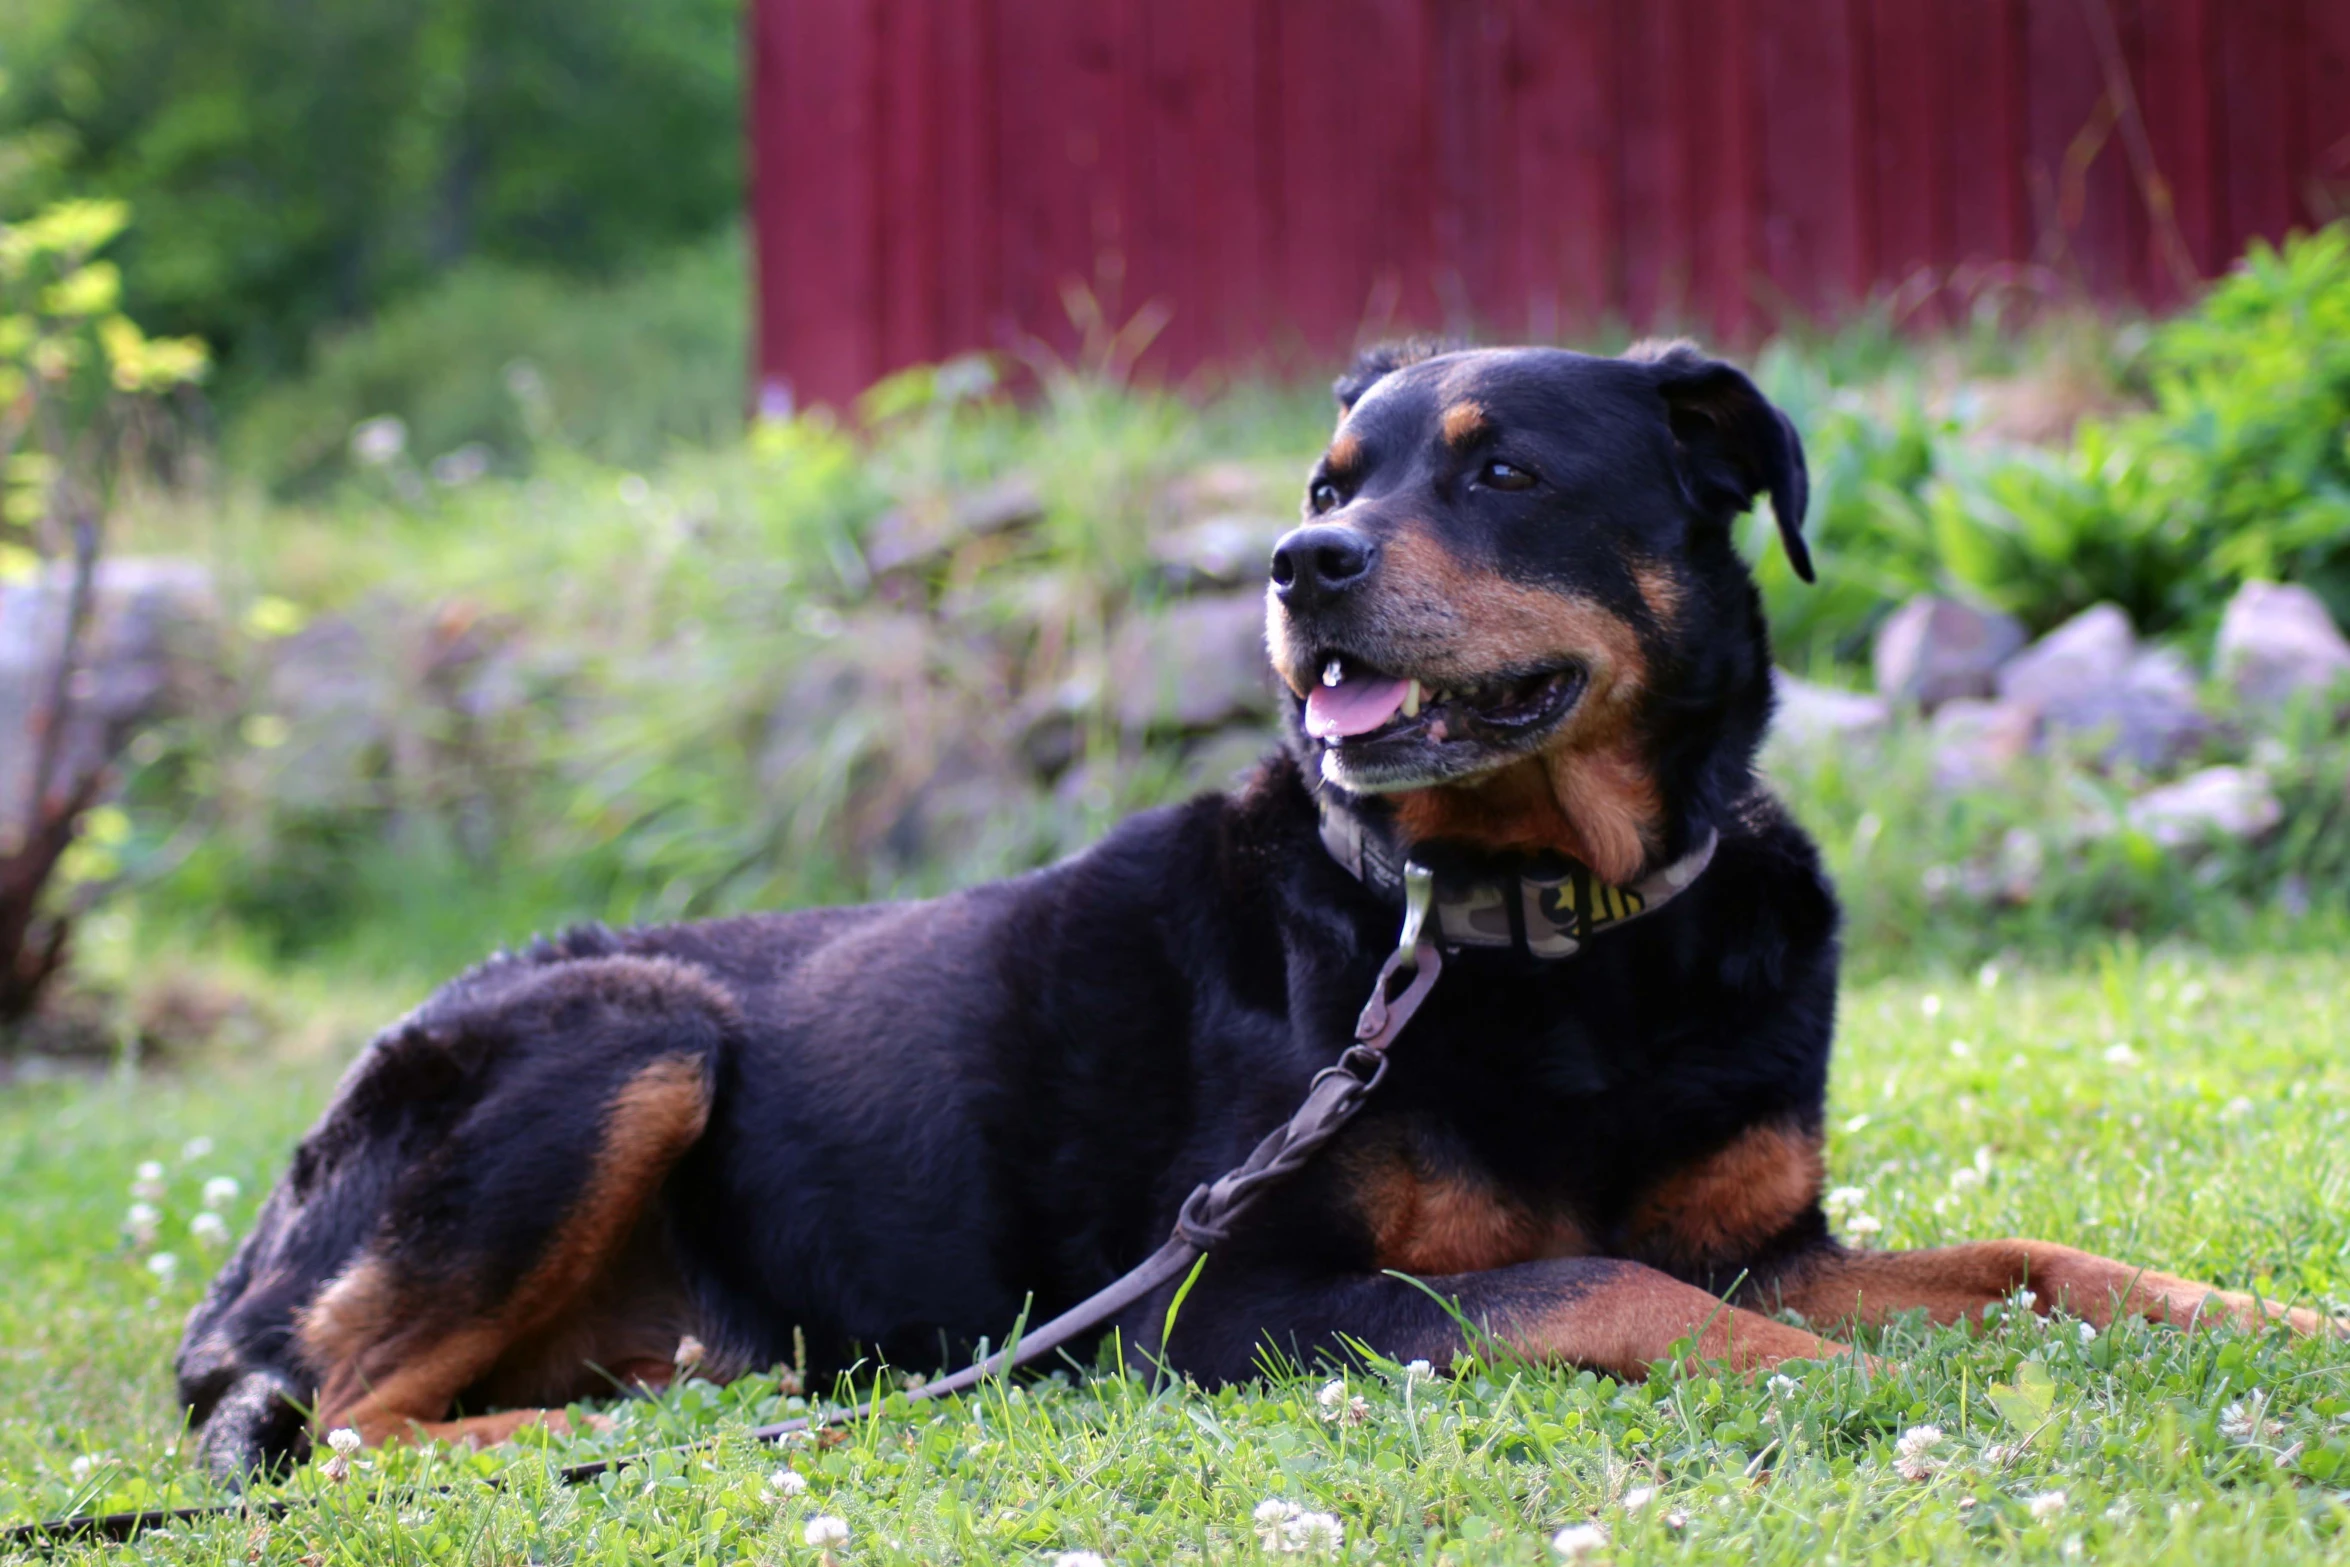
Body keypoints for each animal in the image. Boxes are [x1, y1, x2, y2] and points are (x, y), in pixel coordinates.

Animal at [173, 343, 2340, 1484]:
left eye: (1501, 470)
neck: (1555, 923)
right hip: (626, 1026)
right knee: (346, 1419)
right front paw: (1844, 1393)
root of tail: (254, 1237)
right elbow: (1589, 1282)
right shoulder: (1220, 1303)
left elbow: (2034, 1257)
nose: (1303, 568)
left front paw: (2259, 1312)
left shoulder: (1774, 1240)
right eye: (1329, 480)